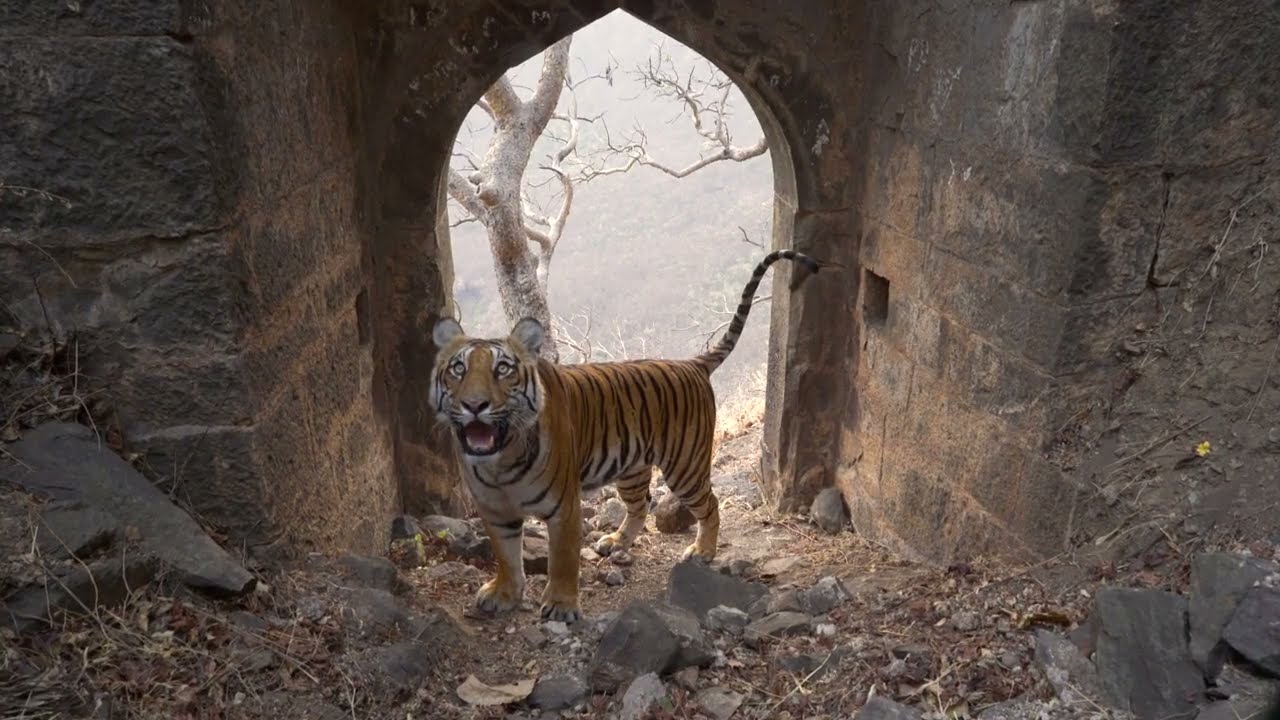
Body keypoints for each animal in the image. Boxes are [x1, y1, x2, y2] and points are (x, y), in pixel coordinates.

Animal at [429, 249, 821, 623]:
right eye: (458, 369)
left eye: (503, 369)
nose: (474, 404)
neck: (500, 461)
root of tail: (691, 363)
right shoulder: (494, 510)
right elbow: (506, 556)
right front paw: (503, 594)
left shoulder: (564, 507)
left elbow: (563, 560)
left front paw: (561, 605)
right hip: (630, 468)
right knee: (641, 504)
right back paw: (616, 541)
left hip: (685, 466)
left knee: (709, 504)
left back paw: (703, 551)